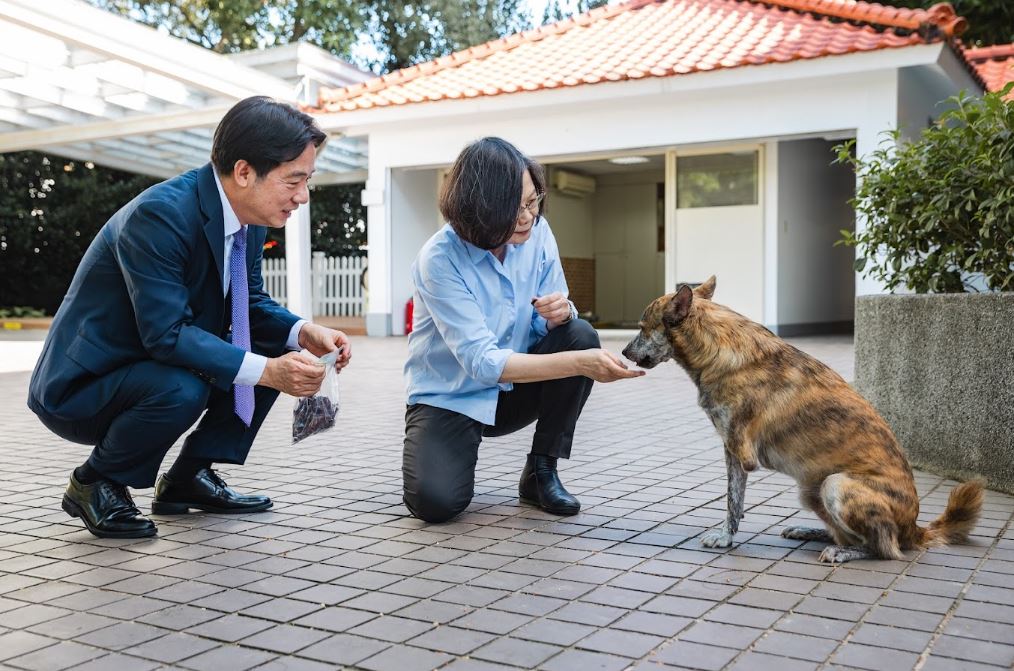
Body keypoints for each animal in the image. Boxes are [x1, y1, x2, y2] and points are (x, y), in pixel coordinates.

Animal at [620, 275, 985, 563]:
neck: (718, 349)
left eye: (642, 328)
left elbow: (731, 499)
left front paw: (724, 535)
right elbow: (735, 500)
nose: (623, 353)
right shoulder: (731, 450)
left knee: (883, 548)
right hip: (812, 491)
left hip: (835, 484)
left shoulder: (739, 449)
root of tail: (913, 529)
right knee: (847, 533)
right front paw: (728, 536)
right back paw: (811, 532)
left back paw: (844, 552)